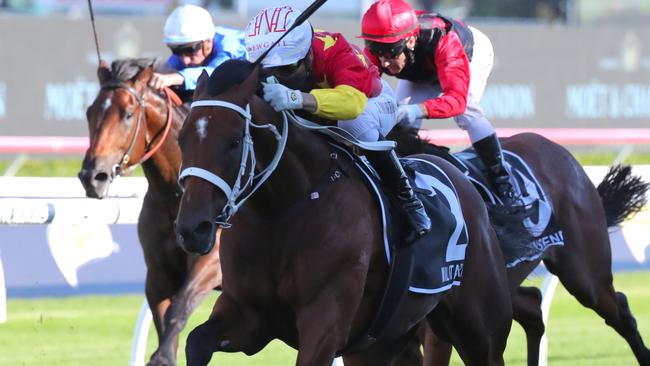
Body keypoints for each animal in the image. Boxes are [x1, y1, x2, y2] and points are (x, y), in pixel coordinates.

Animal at [77, 58, 220, 366]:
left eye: (128, 114)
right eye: (90, 111)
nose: (93, 176)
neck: (175, 195)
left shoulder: (212, 262)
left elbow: (181, 306)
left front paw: (161, 356)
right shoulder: (157, 274)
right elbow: (165, 321)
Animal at [175, 58, 512, 364]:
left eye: (233, 141)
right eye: (182, 139)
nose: (192, 229)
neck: (280, 213)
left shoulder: (326, 320)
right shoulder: (248, 314)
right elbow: (196, 342)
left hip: (479, 330)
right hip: (382, 343)